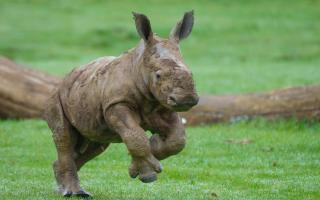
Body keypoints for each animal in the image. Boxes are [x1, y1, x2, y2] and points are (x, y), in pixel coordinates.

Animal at [44, 11, 198, 198]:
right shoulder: (116, 104)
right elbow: (136, 136)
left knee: (95, 144)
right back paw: (74, 192)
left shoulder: (162, 105)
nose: (187, 99)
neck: (140, 66)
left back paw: (64, 188)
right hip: (57, 97)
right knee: (65, 137)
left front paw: (150, 151)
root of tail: (64, 79)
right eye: (158, 76)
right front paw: (148, 175)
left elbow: (178, 139)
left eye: (191, 73)